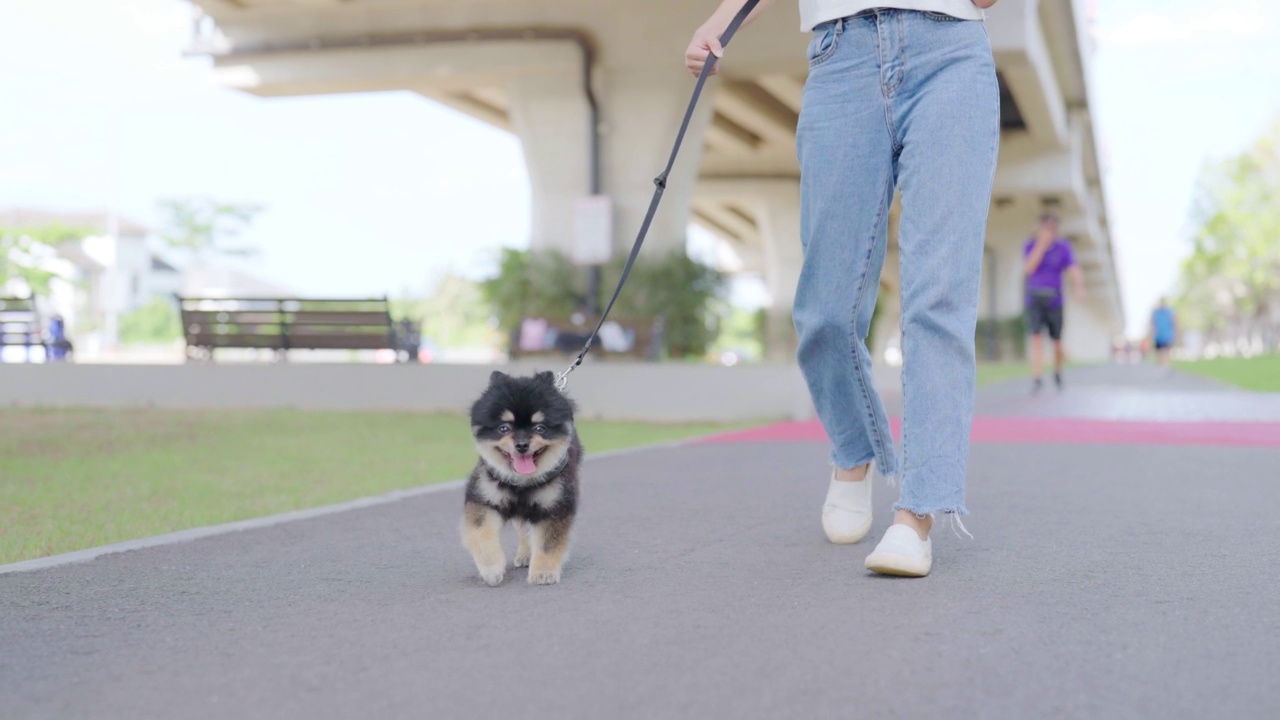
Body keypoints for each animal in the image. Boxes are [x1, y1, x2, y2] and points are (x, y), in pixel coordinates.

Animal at [463, 368, 583, 584]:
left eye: (540, 428)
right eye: (504, 428)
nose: (521, 445)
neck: (521, 482)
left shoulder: (553, 505)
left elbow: (547, 543)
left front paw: (543, 572)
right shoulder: (484, 499)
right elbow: (482, 535)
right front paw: (491, 569)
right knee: (523, 531)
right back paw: (525, 554)